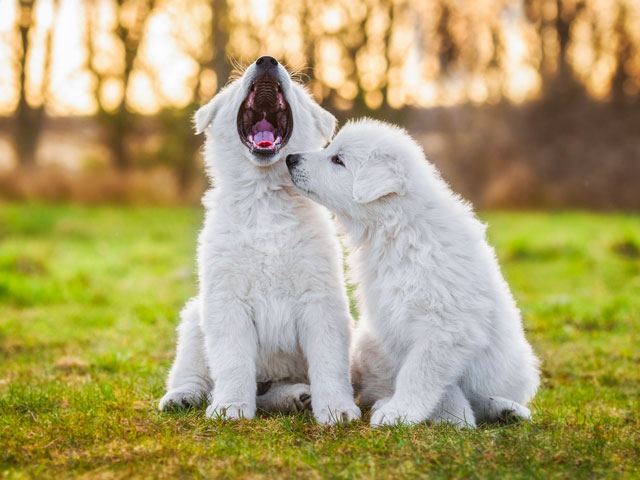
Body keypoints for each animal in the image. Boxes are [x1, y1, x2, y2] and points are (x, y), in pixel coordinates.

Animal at [159, 57, 360, 428]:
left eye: (296, 91)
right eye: (235, 86)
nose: (266, 60)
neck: (265, 200)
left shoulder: (321, 300)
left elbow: (329, 362)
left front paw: (337, 409)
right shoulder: (227, 301)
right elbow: (233, 362)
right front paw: (230, 407)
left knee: (270, 393)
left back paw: (295, 397)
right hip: (194, 319)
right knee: (193, 372)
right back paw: (182, 396)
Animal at [286, 120, 540, 428]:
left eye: (338, 160)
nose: (290, 158)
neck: (397, 229)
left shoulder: (446, 326)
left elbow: (420, 374)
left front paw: (400, 413)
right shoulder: (395, 321)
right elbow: (433, 381)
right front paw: (450, 417)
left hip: (515, 365)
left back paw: (505, 408)